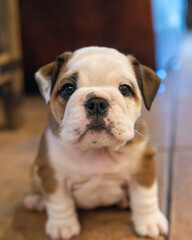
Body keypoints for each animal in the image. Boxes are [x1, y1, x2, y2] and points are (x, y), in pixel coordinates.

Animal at [23, 46, 168, 239]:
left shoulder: (143, 166)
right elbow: (58, 202)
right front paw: (63, 225)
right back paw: (36, 200)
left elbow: (145, 197)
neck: (98, 150)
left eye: (124, 89)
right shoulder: (52, 174)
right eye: (68, 88)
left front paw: (149, 221)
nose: (97, 102)